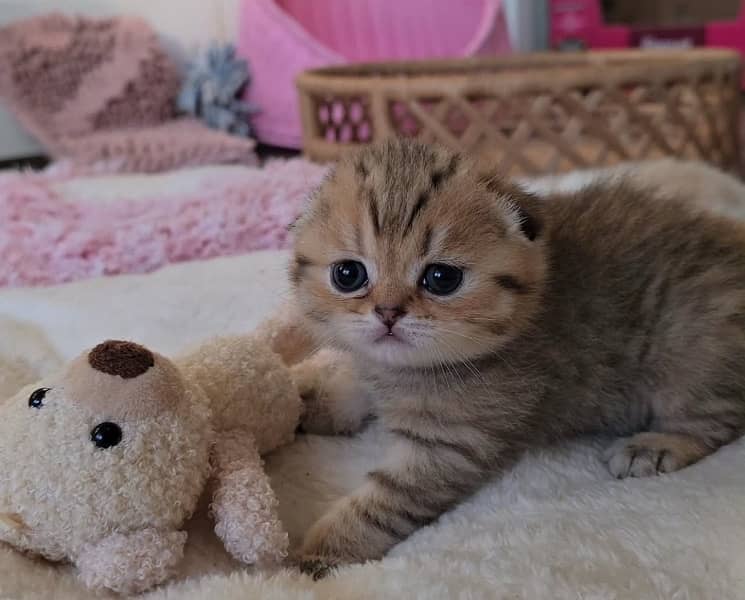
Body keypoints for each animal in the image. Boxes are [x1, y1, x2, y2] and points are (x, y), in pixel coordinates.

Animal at [288, 138, 744, 580]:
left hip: (690, 353)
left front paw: (325, 550)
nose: (387, 312)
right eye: (348, 274)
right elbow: (354, 383)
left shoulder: (453, 443)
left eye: (441, 278)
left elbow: (385, 501)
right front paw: (316, 405)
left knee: (717, 419)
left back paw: (656, 445)